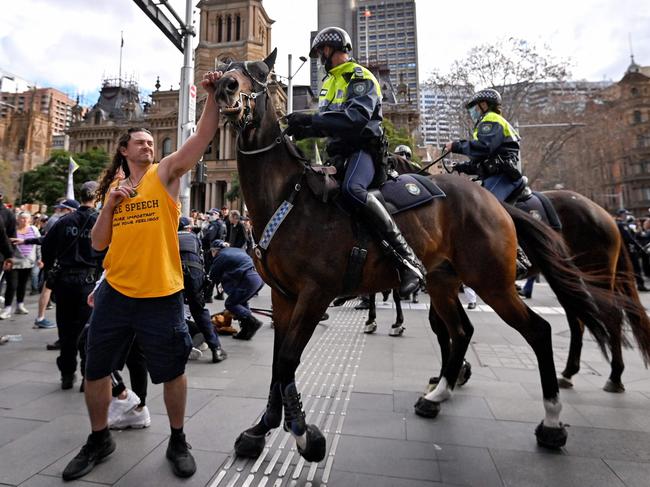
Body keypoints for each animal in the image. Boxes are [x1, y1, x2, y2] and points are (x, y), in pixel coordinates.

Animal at [213, 51, 612, 464]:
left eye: (260, 75)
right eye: (227, 70)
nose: (224, 87)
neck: (289, 198)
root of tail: (493, 201)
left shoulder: (314, 294)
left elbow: (289, 361)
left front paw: (305, 435)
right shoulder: (283, 297)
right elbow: (278, 365)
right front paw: (261, 430)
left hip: (493, 282)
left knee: (541, 329)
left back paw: (552, 421)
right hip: (443, 281)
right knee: (464, 330)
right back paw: (438, 394)